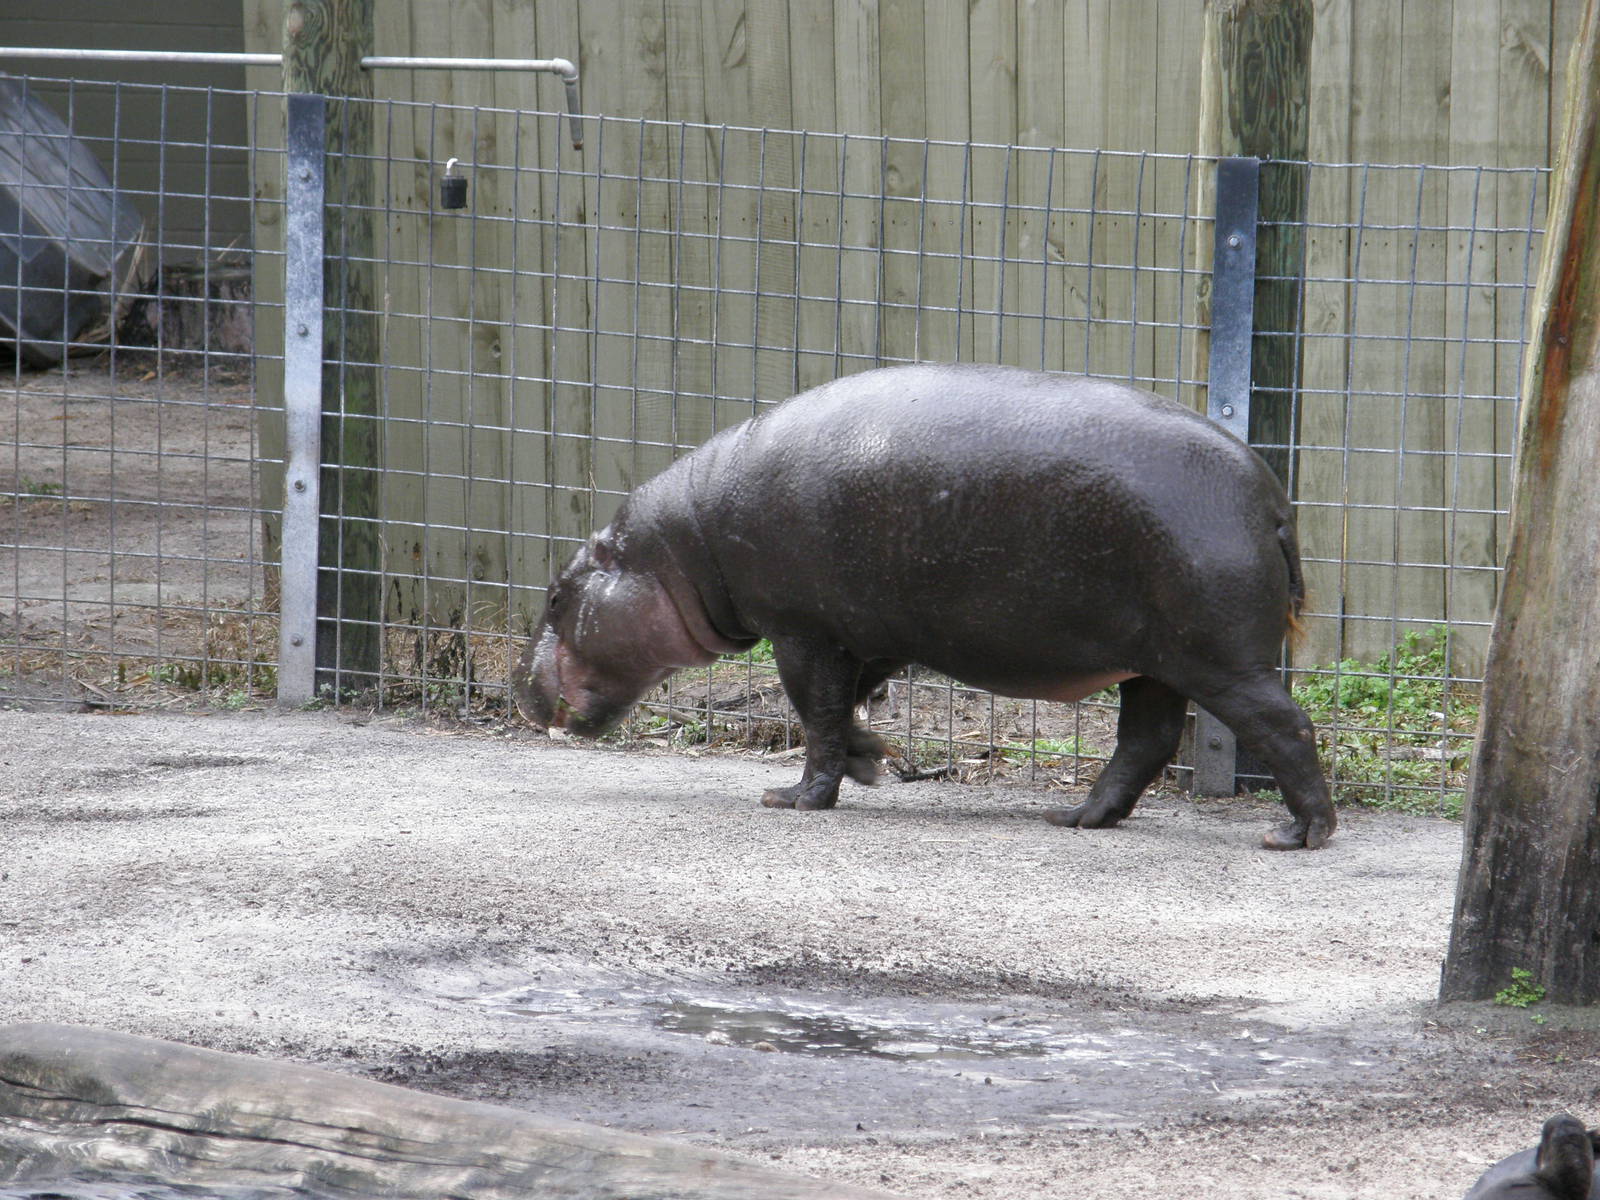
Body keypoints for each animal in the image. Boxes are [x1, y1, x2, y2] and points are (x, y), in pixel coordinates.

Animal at [512, 363, 1336, 850]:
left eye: (555, 594)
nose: (518, 687)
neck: (685, 547)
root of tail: (1273, 499)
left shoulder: (803, 631)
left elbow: (814, 712)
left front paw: (794, 798)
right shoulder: (869, 633)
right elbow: (845, 706)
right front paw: (874, 760)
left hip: (1215, 657)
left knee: (1284, 724)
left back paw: (1297, 834)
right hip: (1155, 663)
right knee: (1146, 741)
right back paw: (1076, 819)